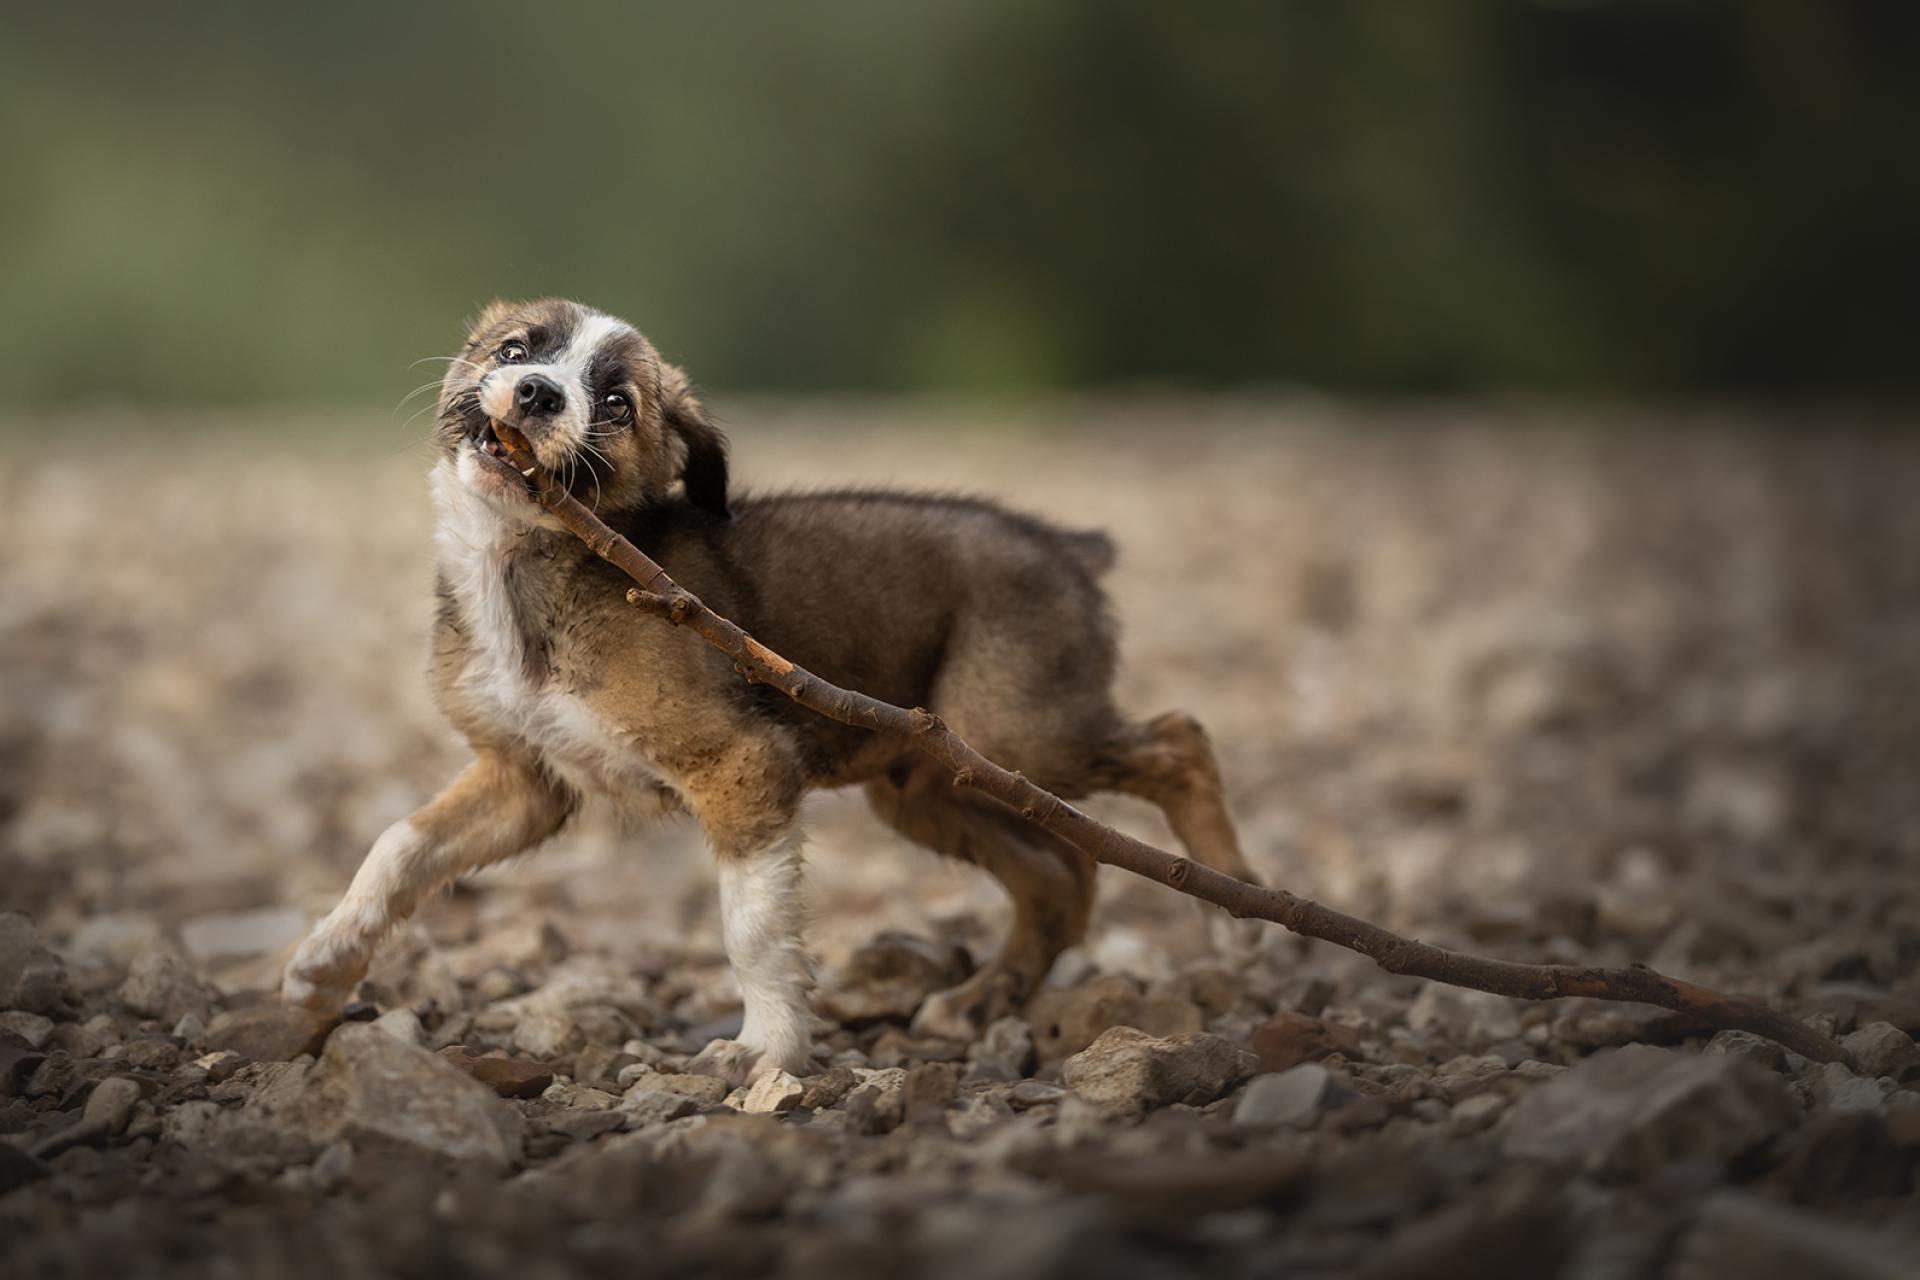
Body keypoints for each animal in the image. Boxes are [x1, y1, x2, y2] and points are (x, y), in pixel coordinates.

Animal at [278, 305, 1251, 1090]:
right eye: (517, 349)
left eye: (617, 402)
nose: (539, 394)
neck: (523, 565)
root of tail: (1066, 547)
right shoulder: (526, 779)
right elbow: (400, 847)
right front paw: (326, 965)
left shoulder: (742, 767)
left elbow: (752, 930)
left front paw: (768, 1053)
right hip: (933, 785)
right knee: (1062, 875)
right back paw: (982, 1000)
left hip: (1013, 735)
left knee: (1180, 740)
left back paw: (1236, 906)